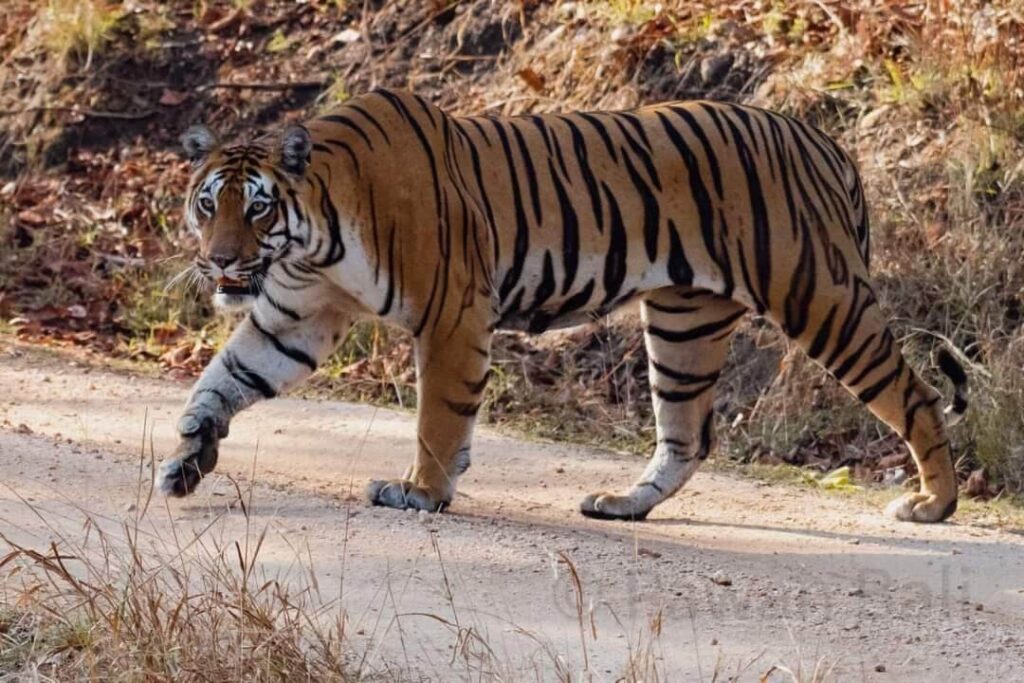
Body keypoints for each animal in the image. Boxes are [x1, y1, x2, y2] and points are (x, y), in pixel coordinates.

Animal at [157, 87, 968, 523]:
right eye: (208, 204)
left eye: (257, 209)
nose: (220, 260)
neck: (314, 237)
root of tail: (826, 141)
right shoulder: (298, 316)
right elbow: (222, 379)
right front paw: (189, 458)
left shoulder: (452, 312)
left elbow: (438, 417)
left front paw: (421, 492)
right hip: (684, 323)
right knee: (688, 435)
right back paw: (622, 504)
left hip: (820, 295)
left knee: (916, 394)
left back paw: (935, 504)